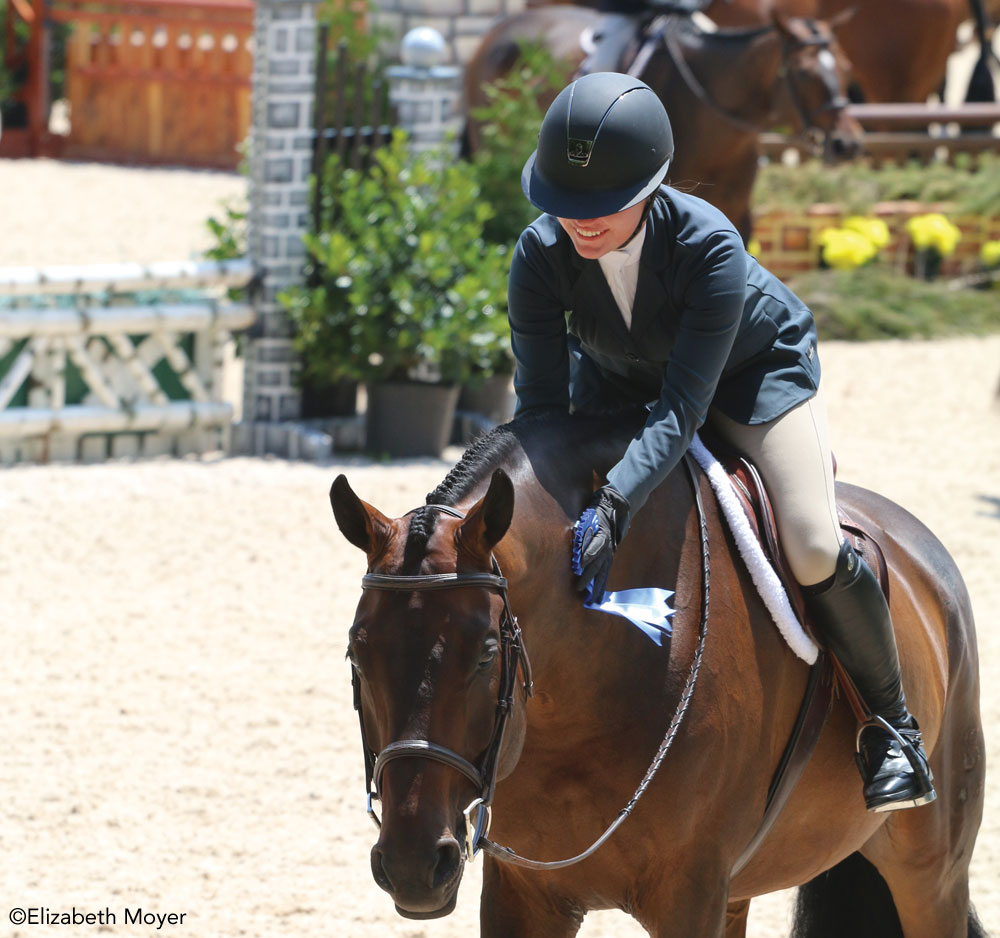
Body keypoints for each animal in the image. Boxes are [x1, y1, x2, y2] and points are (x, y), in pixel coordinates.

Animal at [330, 410, 984, 936]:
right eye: (358, 655)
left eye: (488, 652)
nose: (414, 866)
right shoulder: (523, 893)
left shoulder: (688, 894)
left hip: (931, 875)